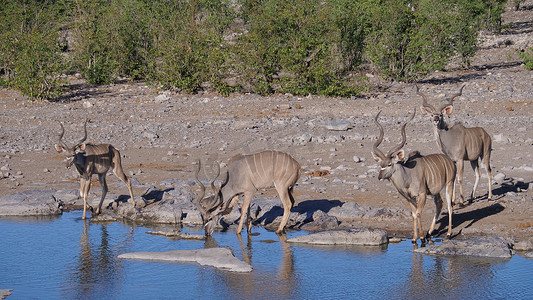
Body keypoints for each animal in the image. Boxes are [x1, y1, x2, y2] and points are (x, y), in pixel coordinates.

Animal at [372, 110, 456, 244]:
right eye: (381, 164)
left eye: (389, 164)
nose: (379, 177)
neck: (408, 177)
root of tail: (450, 161)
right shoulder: (409, 198)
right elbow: (413, 214)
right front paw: (414, 238)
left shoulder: (421, 194)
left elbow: (419, 213)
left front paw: (421, 238)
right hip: (434, 192)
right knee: (439, 204)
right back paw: (429, 233)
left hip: (449, 183)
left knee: (449, 205)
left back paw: (448, 234)